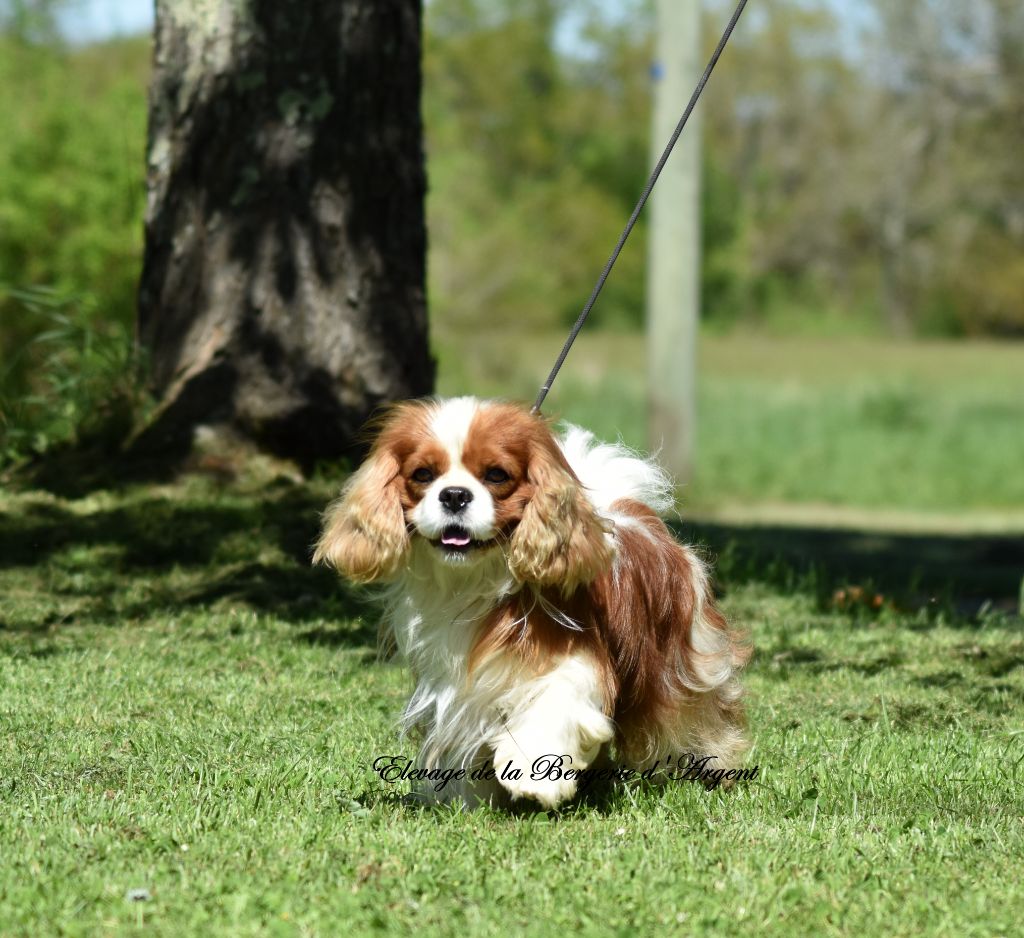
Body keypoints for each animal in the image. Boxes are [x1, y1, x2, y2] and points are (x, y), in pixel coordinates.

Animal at [315, 395, 749, 806]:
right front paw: (471, 799)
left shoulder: (574, 662)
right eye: (423, 475)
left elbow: (552, 705)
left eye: (496, 475)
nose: (454, 495)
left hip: (687, 663)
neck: (475, 581)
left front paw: (534, 777)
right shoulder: (457, 689)